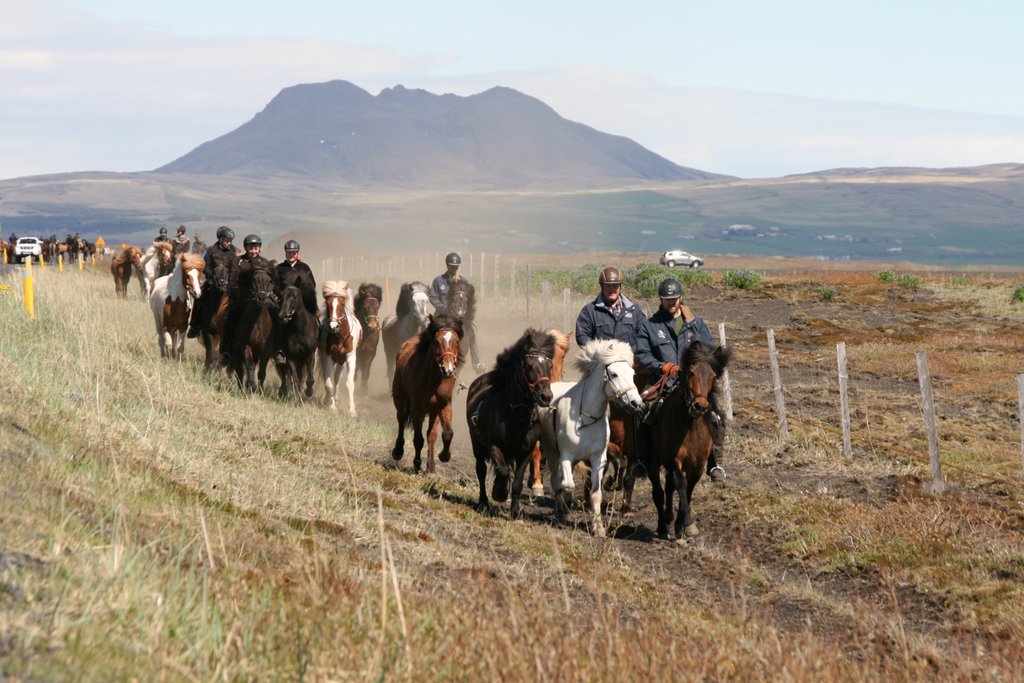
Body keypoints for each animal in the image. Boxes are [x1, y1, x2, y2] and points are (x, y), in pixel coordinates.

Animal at [319, 280, 363, 415]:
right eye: (328, 303)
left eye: (342, 303)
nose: (334, 326)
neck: (340, 336)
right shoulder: (328, 356)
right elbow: (328, 384)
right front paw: (331, 405)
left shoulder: (350, 357)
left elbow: (349, 383)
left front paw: (352, 410)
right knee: (329, 377)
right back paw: (329, 399)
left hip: (341, 360)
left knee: (337, 377)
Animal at [391, 314, 464, 474]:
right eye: (436, 341)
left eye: (456, 341)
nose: (448, 369)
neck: (433, 381)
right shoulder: (417, 408)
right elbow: (418, 439)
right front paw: (417, 463)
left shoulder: (443, 406)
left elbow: (446, 434)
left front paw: (442, 457)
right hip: (400, 399)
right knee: (401, 420)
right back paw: (398, 452)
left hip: (432, 412)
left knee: (431, 434)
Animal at [467, 328, 556, 519]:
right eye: (529, 365)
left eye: (549, 366)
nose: (546, 396)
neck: (517, 414)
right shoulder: (493, 445)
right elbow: (502, 471)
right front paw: (499, 493)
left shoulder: (526, 451)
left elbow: (517, 482)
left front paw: (516, 511)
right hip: (476, 443)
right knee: (481, 470)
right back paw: (483, 502)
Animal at [539, 339, 645, 537]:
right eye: (614, 374)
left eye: (632, 373)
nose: (637, 403)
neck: (584, 417)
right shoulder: (565, 455)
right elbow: (568, 484)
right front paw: (567, 507)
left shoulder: (599, 458)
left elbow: (596, 493)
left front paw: (598, 527)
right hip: (551, 452)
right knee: (556, 481)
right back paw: (560, 512)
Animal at [647, 341, 731, 541]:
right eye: (691, 372)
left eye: (713, 375)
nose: (700, 406)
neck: (689, 428)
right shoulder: (675, 461)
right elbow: (681, 485)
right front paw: (681, 526)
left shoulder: (697, 466)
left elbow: (688, 490)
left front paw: (685, 524)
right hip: (653, 462)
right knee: (658, 492)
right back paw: (662, 526)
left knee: (668, 486)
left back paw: (670, 518)